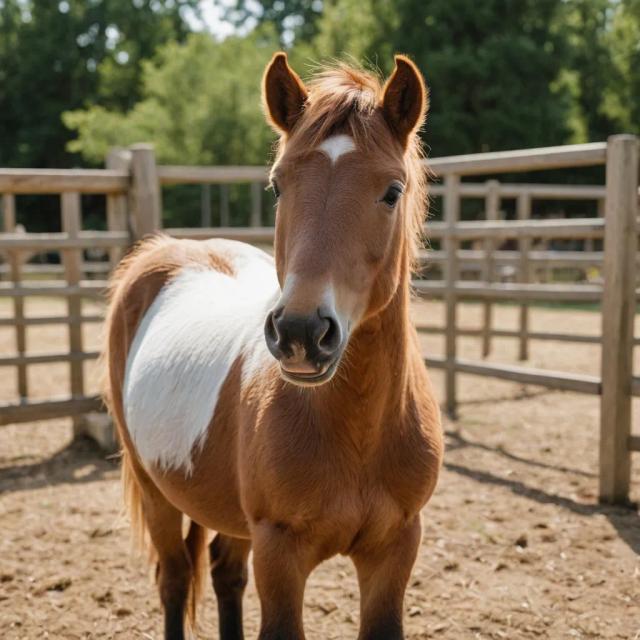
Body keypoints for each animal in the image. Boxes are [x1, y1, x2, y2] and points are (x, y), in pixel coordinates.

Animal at [104, 52, 443, 640]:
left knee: (224, 575)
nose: (302, 333)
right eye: (278, 186)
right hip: (155, 492)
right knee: (175, 578)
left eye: (392, 191)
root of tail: (165, 252)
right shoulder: (279, 554)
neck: (356, 432)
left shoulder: (396, 548)